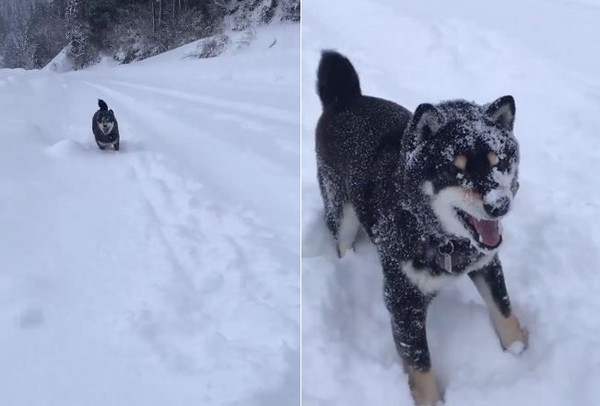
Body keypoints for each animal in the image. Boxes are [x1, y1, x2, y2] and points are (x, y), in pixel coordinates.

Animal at [314, 51, 524, 406]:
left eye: (499, 162)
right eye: (456, 171)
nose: (499, 205)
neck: (440, 237)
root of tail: (345, 98)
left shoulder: (486, 262)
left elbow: (504, 311)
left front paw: (522, 351)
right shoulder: (402, 298)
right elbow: (420, 365)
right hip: (340, 210)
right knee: (341, 240)